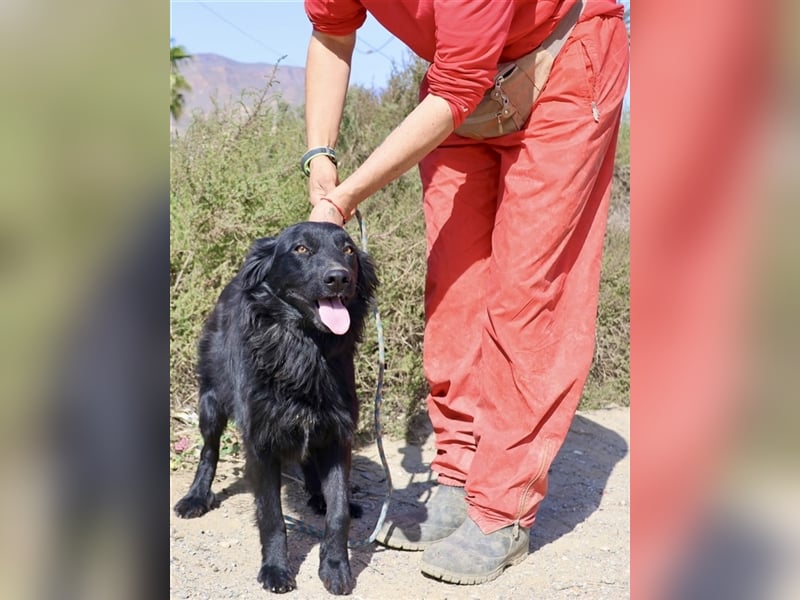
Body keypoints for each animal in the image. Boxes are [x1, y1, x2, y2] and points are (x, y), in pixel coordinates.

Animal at [174, 221, 378, 596]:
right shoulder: (260, 442)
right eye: (300, 249)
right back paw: (196, 497)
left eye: (348, 250)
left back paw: (317, 495)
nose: (339, 278)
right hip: (210, 401)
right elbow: (271, 516)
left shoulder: (337, 433)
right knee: (208, 450)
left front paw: (335, 566)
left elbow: (338, 512)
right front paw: (275, 569)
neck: (305, 349)